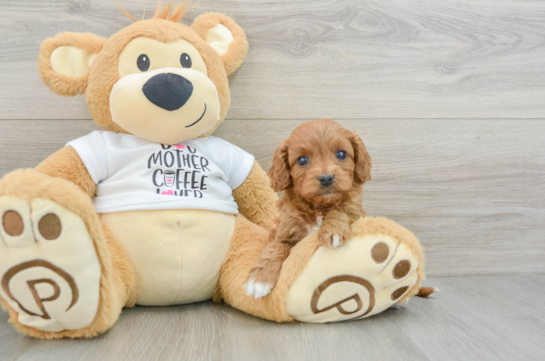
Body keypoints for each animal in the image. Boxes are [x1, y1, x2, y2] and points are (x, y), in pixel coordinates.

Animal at [244, 118, 372, 298]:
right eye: (302, 160)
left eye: (341, 154)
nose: (326, 178)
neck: (319, 206)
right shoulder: (283, 232)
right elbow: (275, 248)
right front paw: (259, 280)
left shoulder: (355, 212)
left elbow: (340, 210)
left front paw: (333, 230)